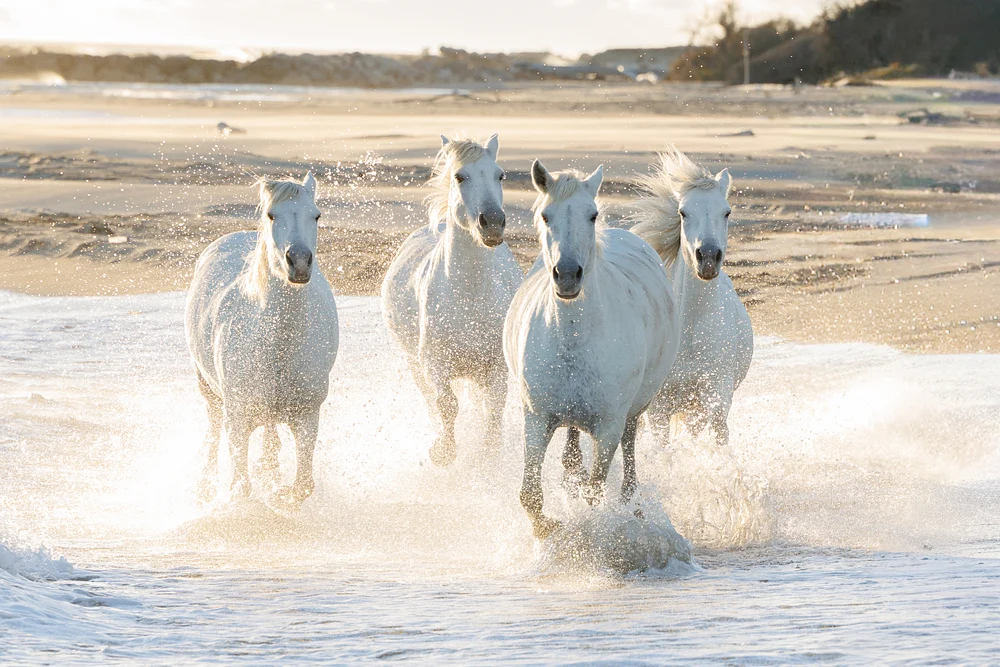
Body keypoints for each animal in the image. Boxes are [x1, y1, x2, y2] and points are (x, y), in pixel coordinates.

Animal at [185, 173, 339, 506]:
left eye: (316, 215)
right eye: (271, 215)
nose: (299, 262)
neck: (279, 345)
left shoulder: (308, 417)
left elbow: (303, 485)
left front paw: (280, 496)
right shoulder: (237, 419)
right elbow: (241, 488)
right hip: (207, 387)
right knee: (213, 428)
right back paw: (205, 485)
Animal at [381, 135, 522, 466]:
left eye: (500, 175)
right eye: (460, 176)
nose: (492, 223)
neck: (468, 296)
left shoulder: (496, 365)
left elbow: (493, 407)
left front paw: (490, 453)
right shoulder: (435, 364)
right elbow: (446, 403)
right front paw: (443, 451)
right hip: (414, 363)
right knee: (431, 401)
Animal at [504, 161, 680, 538]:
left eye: (592, 215)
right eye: (546, 215)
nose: (568, 275)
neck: (573, 340)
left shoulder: (609, 426)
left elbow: (594, 492)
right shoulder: (535, 418)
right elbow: (530, 495)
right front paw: (548, 528)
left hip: (634, 411)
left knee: (629, 450)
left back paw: (632, 504)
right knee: (572, 446)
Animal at [631, 147, 753, 447]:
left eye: (727, 212)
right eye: (683, 212)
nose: (707, 258)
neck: (691, 331)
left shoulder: (716, 394)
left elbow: (719, 434)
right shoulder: (659, 406)